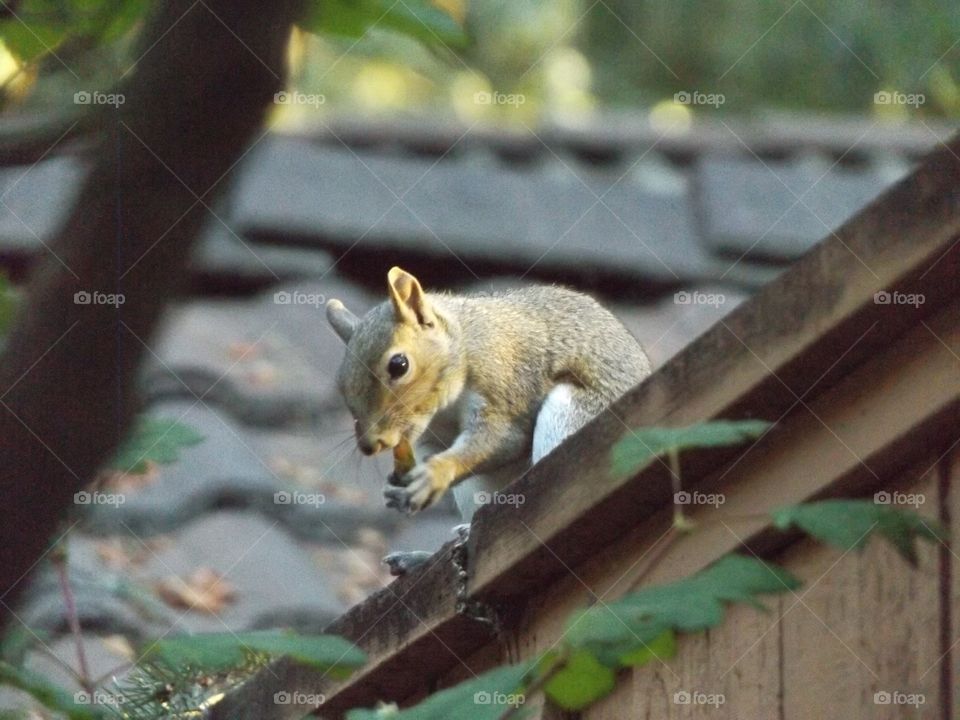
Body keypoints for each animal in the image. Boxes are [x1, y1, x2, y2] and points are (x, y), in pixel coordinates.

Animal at [326, 267, 652, 574]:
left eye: (399, 365)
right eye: (341, 381)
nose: (370, 444)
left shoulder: (503, 381)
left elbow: (503, 439)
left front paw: (435, 474)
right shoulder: (433, 436)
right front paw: (398, 485)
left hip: (571, 415)